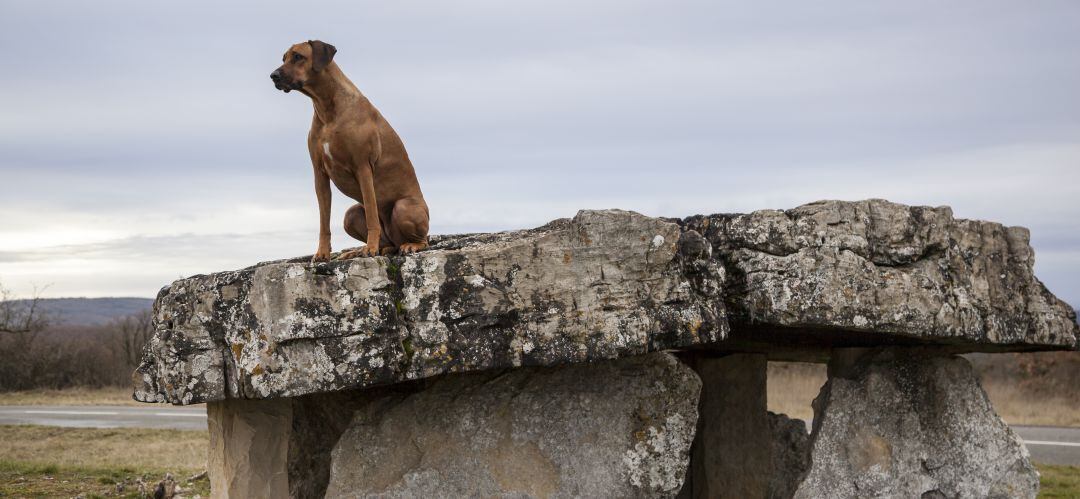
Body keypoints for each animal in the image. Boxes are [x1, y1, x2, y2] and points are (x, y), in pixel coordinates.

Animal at [270, 41, 429, 263]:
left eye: (298, 56)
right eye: (283, 58)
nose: (273, 75)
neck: (327, 109)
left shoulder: (363, 167)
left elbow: (371, 213)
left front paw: (370, 248)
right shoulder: (319, 174)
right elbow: (324, 221)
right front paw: (322, 252)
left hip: (404, 207)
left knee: (423, 240)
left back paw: (409, 245)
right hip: (351, 214)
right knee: (387, 243)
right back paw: (362, 250)